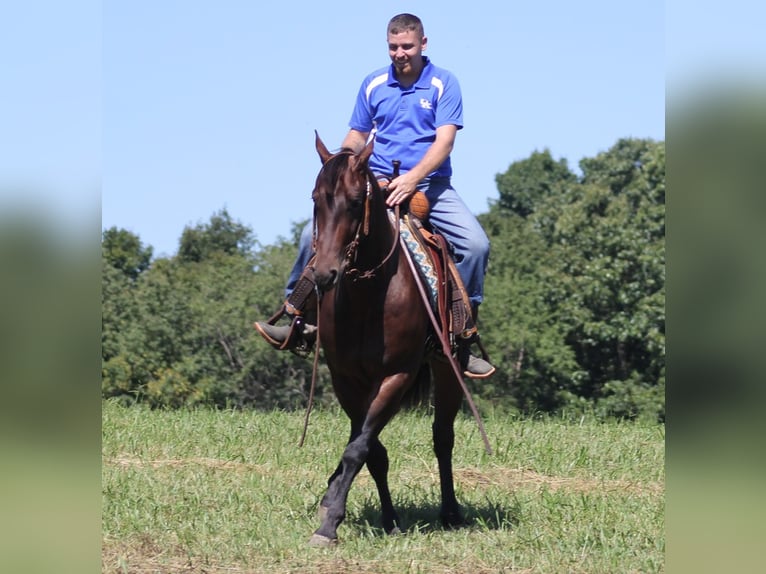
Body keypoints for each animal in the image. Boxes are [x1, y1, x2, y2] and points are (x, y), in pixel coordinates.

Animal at [304, 132, 474, 548]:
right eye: (315, 199)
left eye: (354, 202)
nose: (324, 274)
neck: (369, 294)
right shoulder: (346, 378)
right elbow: (369, 450)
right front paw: (377, 516)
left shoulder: (396, 376)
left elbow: (360, 448)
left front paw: (329, 523)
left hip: (447, 369)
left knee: (443, 437)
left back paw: (450, 512)